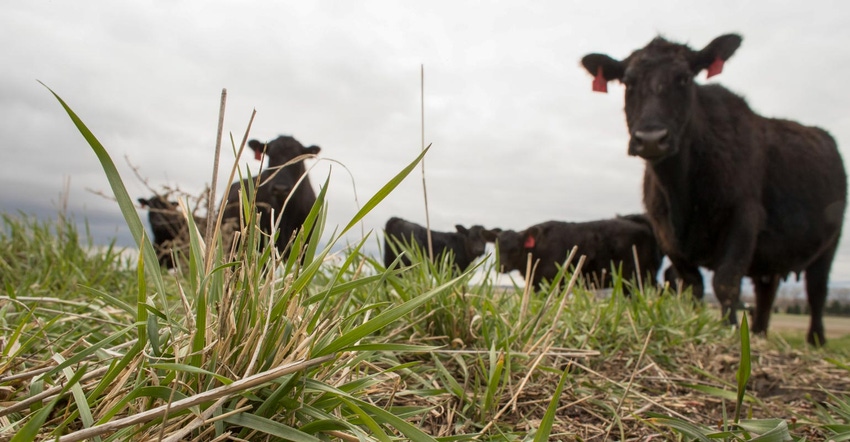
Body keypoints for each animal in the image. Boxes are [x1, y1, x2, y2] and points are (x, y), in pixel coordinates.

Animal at [580, 33, 844, 346]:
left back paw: (815, 340)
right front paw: (697, 323)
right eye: (628, 82)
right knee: (766, 293)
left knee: (817, 292)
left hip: (829, 243)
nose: (652, 138)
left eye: (684, 78)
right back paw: (760, 333)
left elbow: (726, 281)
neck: (681, 191)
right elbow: (693, 285)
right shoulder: (666, 233)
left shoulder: (744, 215)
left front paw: (728, 330)